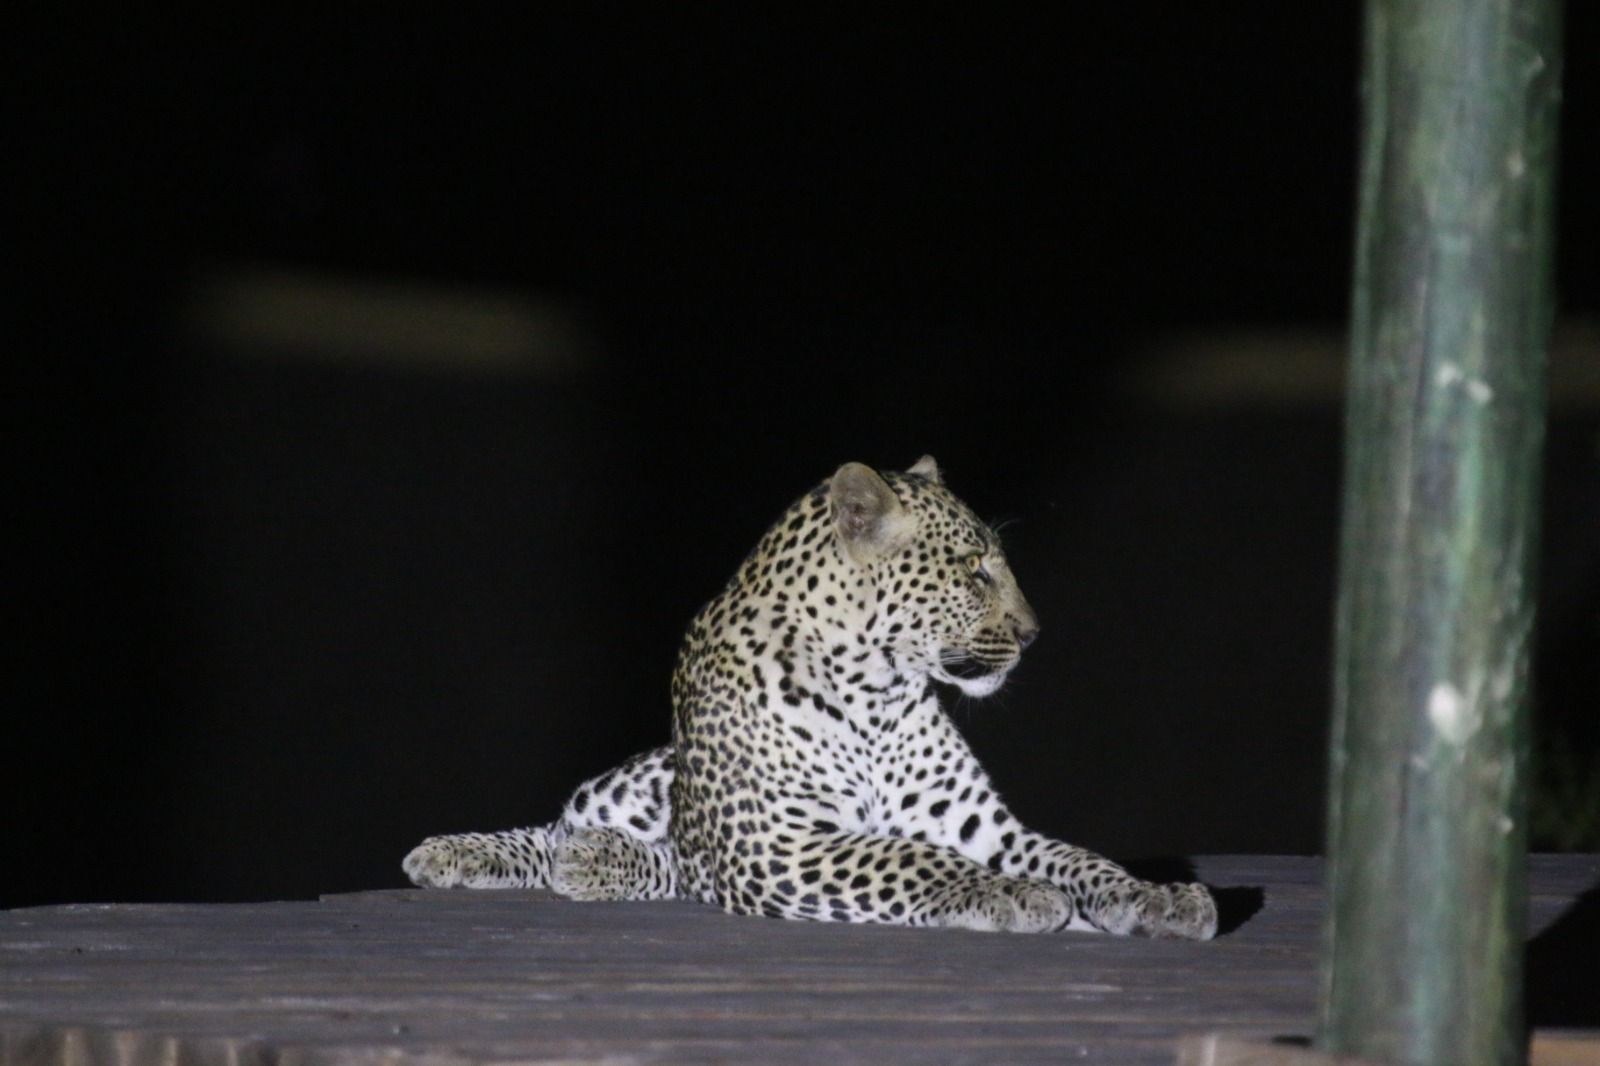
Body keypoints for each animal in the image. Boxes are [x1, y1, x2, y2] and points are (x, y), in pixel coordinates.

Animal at [404, 456, 1218, 939]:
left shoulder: (985, 829)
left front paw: (1157, 895)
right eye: (973, 571)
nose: (1033, 632)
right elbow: (911, 858)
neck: (876, 691)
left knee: (660, 866)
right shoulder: (776, 843)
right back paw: (483, 851)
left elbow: (1079, 858)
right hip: (656, 794)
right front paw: (1010, 896)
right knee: (572, 833)